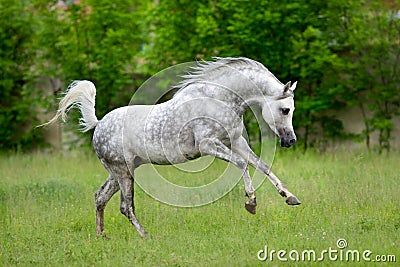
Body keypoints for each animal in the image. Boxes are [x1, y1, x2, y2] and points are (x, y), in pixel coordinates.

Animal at [43, 57, 300, 238]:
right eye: (285, 109)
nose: (290, 141)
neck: (219, 99)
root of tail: (98, 124)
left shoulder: (236, 142)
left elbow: (262, 165)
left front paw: (290, 197)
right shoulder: (208, 145)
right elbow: (241, 164)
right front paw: (251, 203)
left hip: (118, 172)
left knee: (100, 198)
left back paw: (101, 236)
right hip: (123, 172)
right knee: (126, 207)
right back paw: (146, 237)